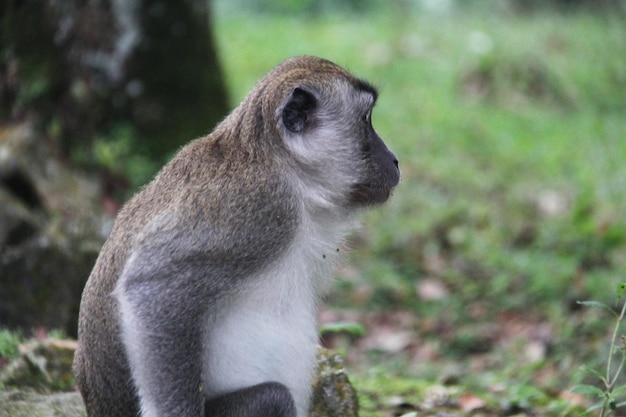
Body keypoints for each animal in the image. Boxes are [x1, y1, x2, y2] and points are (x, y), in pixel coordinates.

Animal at [72, 56, 394, 416]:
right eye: (366, 120)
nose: (394, 160)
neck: (284, 168)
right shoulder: (259, 207)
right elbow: (151, 286)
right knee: (274, 398)